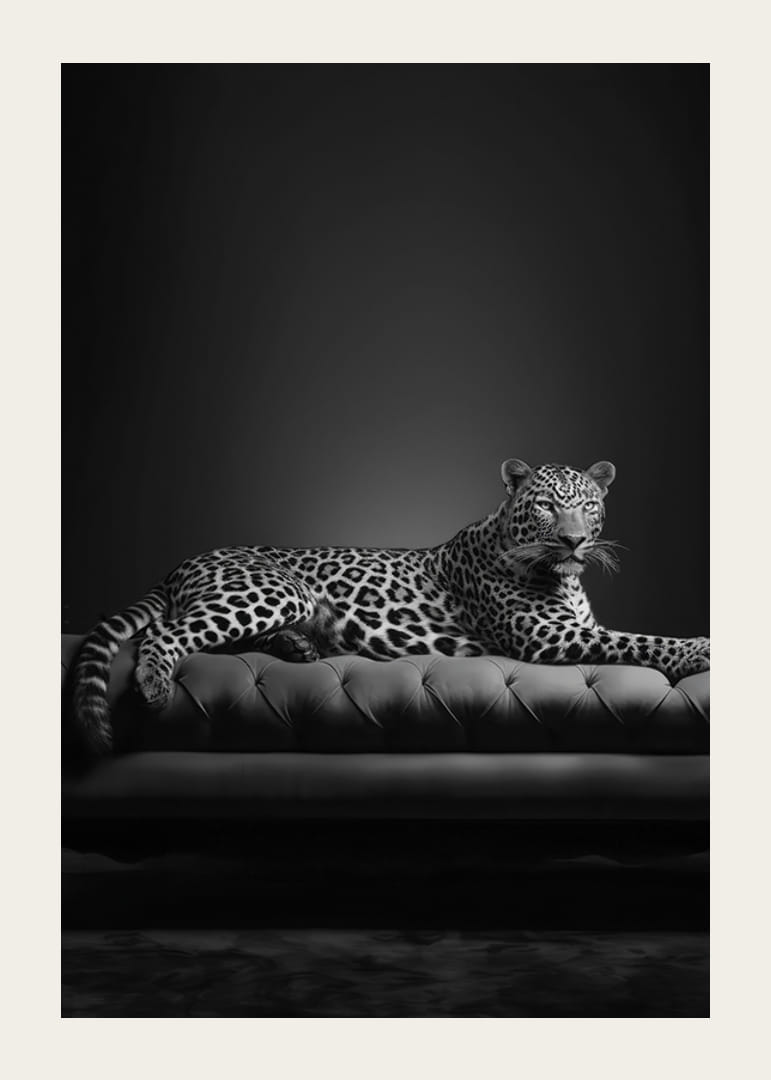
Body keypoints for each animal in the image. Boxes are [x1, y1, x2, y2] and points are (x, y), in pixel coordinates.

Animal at [70, 458, 710, 757]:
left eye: (588, 505)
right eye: (549, 506)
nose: (575, 541)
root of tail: (183, 562)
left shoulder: (574, 626)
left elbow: (634, 635)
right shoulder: (547, 637)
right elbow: (642, 640)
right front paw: (701, 648)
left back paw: (297, 646)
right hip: (274, 590)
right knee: (165, 636)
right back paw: (155, 684)